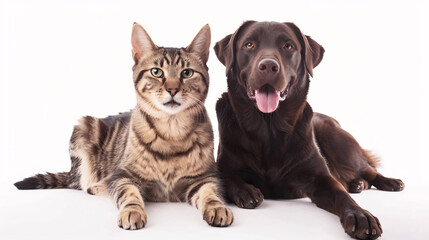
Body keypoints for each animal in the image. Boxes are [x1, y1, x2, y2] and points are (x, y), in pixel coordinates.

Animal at [15, 23, 234, 230]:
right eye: (156, 72)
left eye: (187, 73)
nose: (172, 89)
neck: (171, 131)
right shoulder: (123, 175)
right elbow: (128, 194)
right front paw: (132, 211)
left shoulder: (205, 178)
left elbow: (210, 194)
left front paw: (217, 207)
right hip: (84, 127)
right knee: (83, 184)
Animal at [216, 21, 402, 240]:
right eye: (249, 44)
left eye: (288, 46)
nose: (268, 66)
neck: (268, 128)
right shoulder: (226, 164)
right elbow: (227, 177)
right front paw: (246, 190)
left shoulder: (319, 178)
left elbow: (341, 194)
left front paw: (360, 215)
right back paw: (357, 184)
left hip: (337, 141)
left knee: (367, 168)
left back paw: (389, 182)